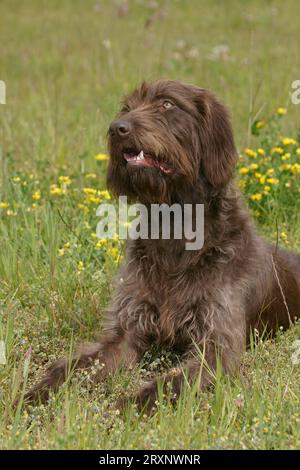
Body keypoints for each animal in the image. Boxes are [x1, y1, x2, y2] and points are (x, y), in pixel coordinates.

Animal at [25, 80, 300, 412]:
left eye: (167, 105)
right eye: (127, 108)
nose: (117, 128)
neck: (174, 229)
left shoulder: (217, 350)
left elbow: (168, 384)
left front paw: (125, 408)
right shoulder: (125, 332)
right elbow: (72, 368)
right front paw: (32, 396)